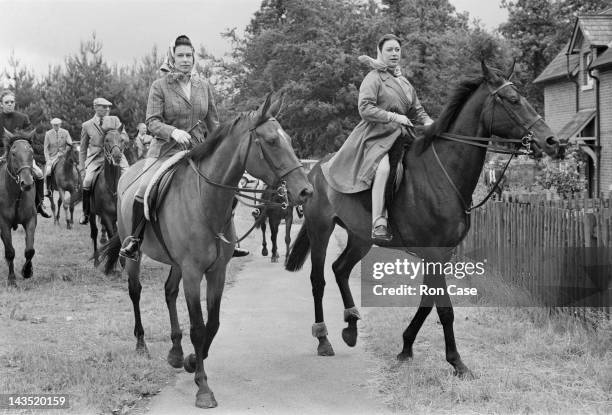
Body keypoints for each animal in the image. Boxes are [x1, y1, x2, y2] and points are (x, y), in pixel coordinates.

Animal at [89, 127, 125, 264]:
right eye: (107, 140)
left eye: (122, 139)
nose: (117, 156)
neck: (113, 188)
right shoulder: (106, 216)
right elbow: (111, 237)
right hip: (91, 213)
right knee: (94, 232)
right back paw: (96, 260)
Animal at [99, 94, 316, 410]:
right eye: (272, 141)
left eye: (287, 138)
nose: (305, 192)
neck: (205, 200)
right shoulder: (193, 273)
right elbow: (199, 327)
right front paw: (203, 387)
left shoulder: (216, 272)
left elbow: (212, 324)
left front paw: (191, 360)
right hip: (136, 258)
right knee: (136, 292)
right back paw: (141, 344)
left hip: (176, 264)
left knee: (169, 292)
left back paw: (176, 351)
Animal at [286, 61, 564, 376]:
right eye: (513, 100)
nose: (552, 141)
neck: (442, 173)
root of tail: (314, 170)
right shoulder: (433, 252)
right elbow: (444, 308)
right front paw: (456, 362)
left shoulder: (441, 254)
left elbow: (427, 302)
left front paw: (406, 347)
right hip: (320, 230)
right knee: (318, 280)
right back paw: (323, 340)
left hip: (360, 238)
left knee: (340, 269)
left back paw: (351, 327)